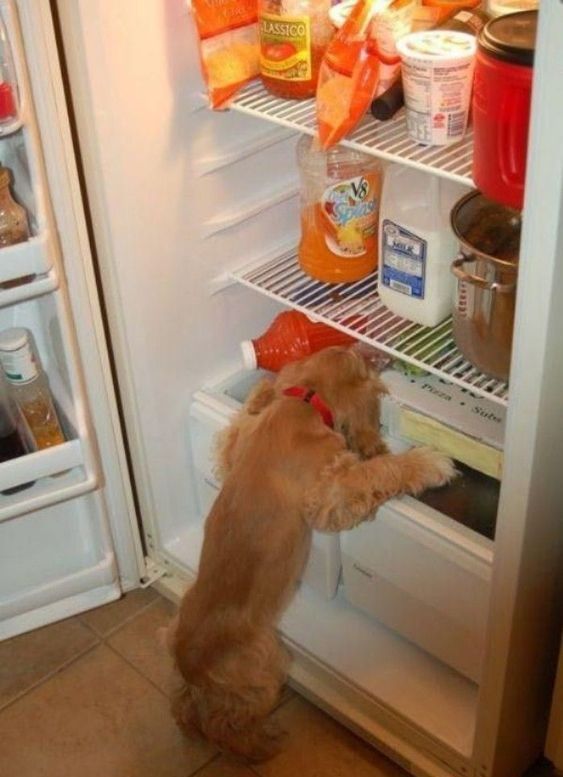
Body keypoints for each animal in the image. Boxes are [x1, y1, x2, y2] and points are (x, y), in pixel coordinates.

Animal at [170, 346, 456, 756]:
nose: (366, 352)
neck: (304, 401)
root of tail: (191, 666)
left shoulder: (238, 441)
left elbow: (240, 425)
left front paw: (260, 391)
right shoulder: (331, 493)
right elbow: (379, 471)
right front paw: (429, 462)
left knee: (185, 707)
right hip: (265, 666)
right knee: (225, 725)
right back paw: (262, 742)